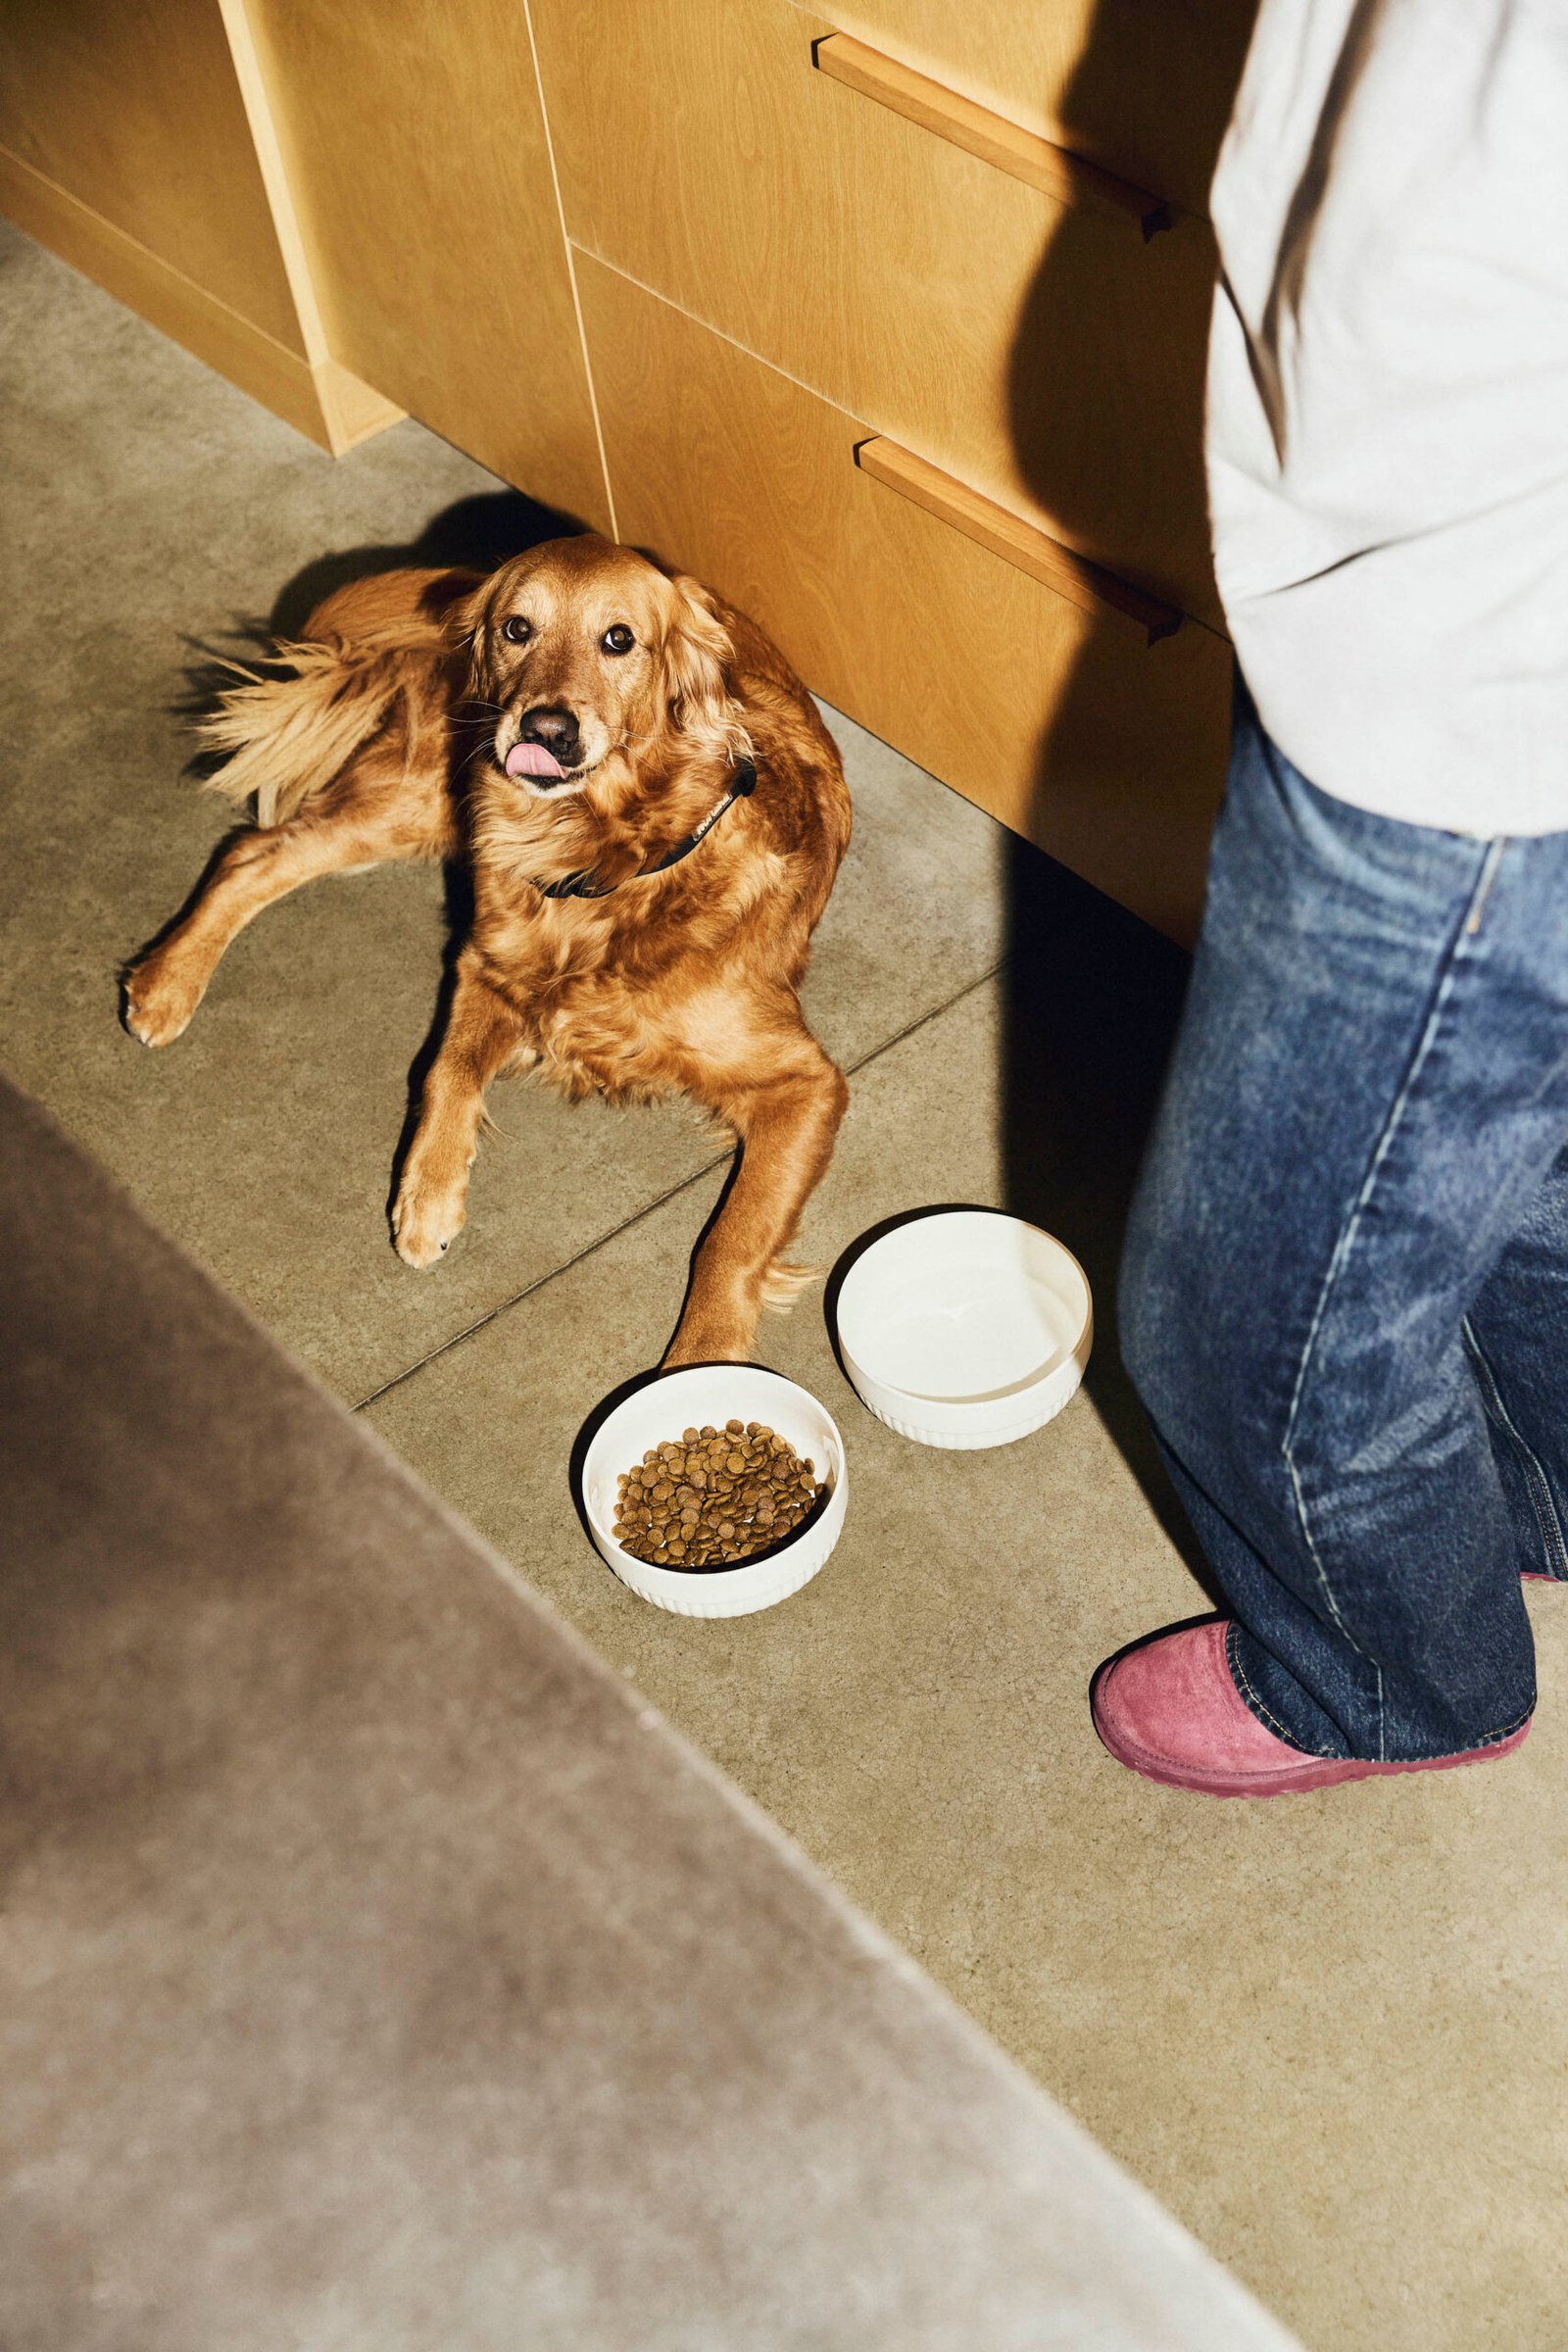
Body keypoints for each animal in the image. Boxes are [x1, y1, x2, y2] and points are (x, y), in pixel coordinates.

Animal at [124, 535, 852, 1366]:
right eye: (517, 629)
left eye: (618, 639)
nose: (547, 729)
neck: (606, 864)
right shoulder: (484, 966)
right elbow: (447, 1069)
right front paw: (428, 1201)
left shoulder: (805, 1084)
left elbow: (728, 1241)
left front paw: (700, 1360)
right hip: (427, 797)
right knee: (252, 853)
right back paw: (166, 984)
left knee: (255, 851)